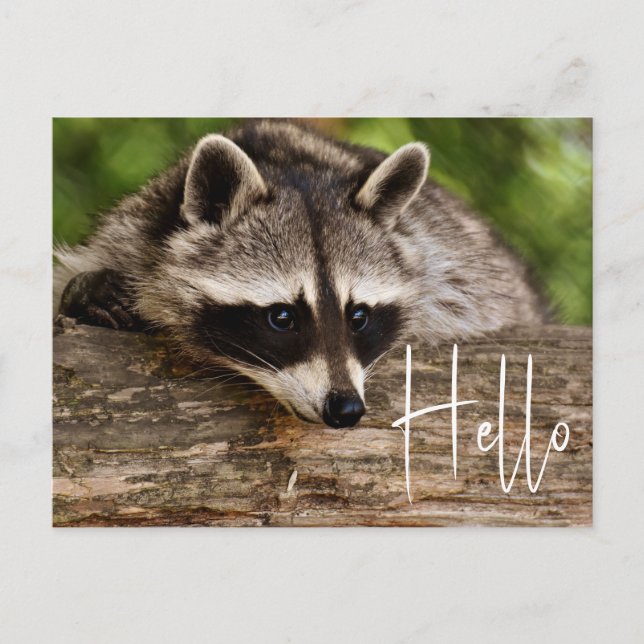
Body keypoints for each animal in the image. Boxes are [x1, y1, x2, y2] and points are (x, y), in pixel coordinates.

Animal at [54, 119, 544, 428]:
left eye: (358, 316)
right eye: (282, 317)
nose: (345, 410)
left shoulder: (451, 264)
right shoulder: (130, 232)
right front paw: (87, 292)